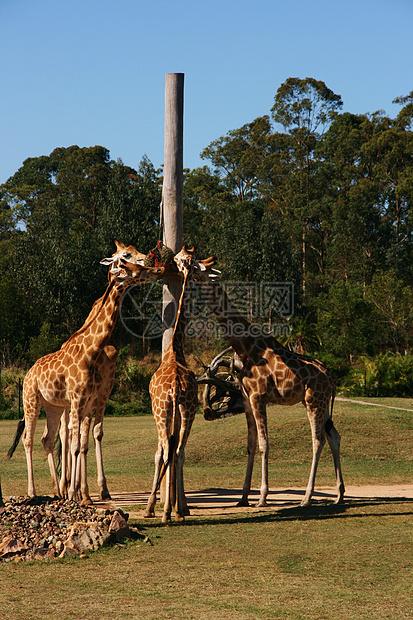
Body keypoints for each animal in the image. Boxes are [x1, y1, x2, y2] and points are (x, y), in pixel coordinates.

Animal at [8, 245, 166, 506]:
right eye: (129, 264)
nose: (157, 268)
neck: (92, 350)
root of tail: (29, 372)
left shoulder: (89, 399)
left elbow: (81, 443)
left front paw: (82, 495)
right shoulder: (78, 399)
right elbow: (74, 445)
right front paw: (77, 494)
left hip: (53, 406)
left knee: (47, 439)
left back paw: (56, 491)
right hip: (31, 399)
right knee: (29, 439)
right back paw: (33, 492)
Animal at [197, 280, 344, 508]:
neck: (248, 348)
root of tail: (332, 379)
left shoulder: (259, 397)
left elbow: (264, 444)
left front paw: (262, 498)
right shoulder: (247, 399)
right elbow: (250, 444)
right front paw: (243, 498)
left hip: (314, 400)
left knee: (318, 440)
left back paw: (307, 498)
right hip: (321, 402)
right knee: (333, 436)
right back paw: (339, 495)